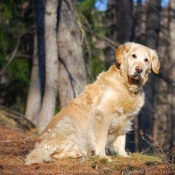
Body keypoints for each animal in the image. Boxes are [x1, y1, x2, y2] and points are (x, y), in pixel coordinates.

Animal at [24, 42, 160, 165]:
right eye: (133, 56)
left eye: (146, 60)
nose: (139, 69)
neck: (126, 85)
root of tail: (36, 147)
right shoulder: (103, 114)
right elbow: (101, 138)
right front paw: (102, 156)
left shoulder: (125, 118)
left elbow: (121, 139)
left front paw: (123, 155)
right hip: (69, 123)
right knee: (52, 155)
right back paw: (75, 153)